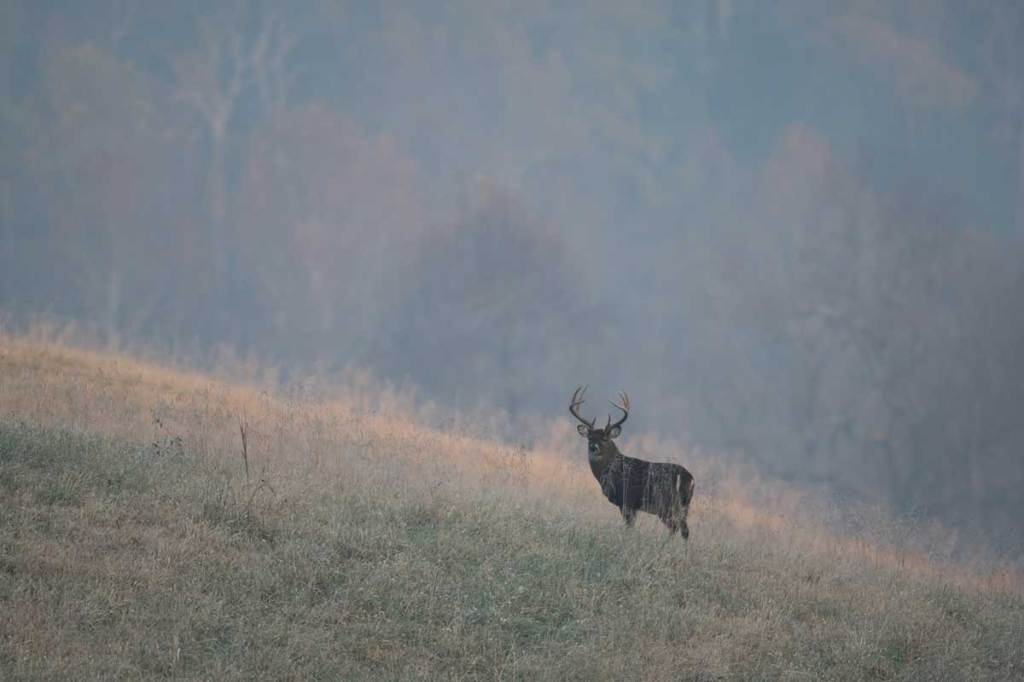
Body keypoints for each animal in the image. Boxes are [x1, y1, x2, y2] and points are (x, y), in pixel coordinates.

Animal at [570, 387, 695, 539]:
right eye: (590, 437)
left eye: (605, 438)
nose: (593, 448)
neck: (615, 470)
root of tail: (690, 478)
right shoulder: (632, 506)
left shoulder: (627, 500)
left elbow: (629, 528)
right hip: (683, 504)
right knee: (684, 530)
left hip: (667, 503)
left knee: (676, 527)